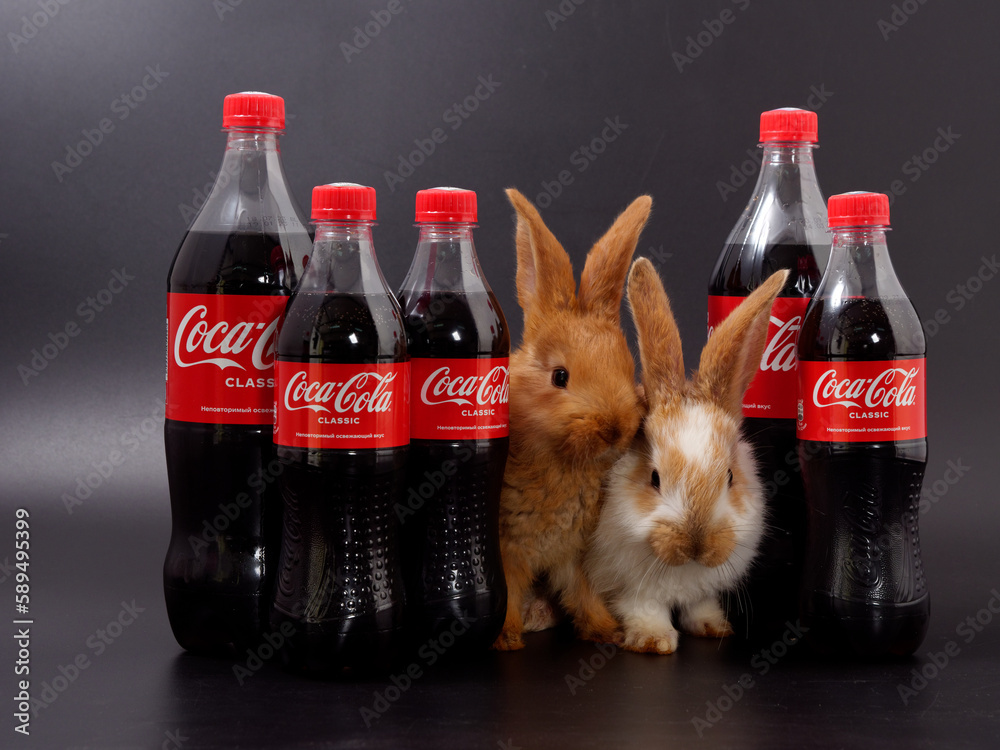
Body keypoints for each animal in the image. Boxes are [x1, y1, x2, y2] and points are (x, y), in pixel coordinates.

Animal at [493, 189, 652, 651]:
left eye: (627, 368)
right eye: (559, 376)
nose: (615, 429)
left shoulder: (576, 552)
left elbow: (584, 591)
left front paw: (606, 631)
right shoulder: (509, 550)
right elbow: (509, 593)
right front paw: (505, 638)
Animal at [585, 258, 788, 654]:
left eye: (730, 477)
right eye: (654, 478)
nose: (697, 544)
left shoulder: (702, 588)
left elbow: (700, 604)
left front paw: (713, 627)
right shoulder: (627, 585)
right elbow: (643, 607)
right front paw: (654, 641)